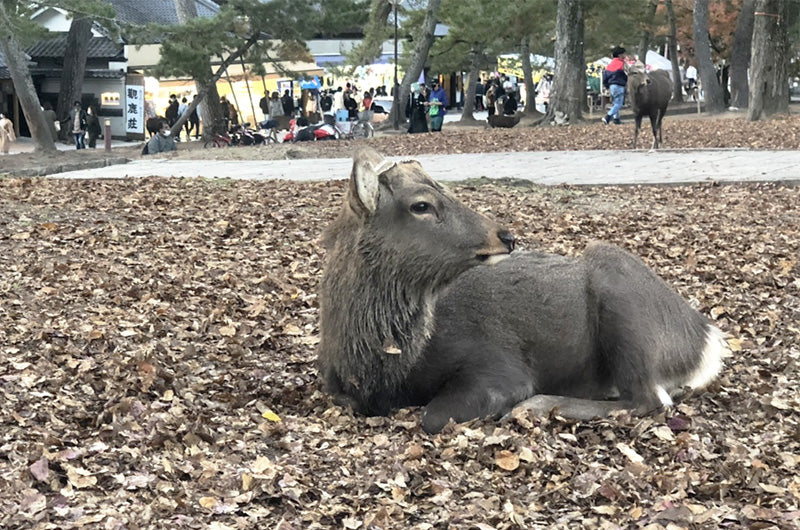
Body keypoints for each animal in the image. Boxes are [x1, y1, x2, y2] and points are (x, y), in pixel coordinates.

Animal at [316, 146, 728, 432]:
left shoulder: (499, 364)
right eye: (421, 205)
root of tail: (706, 341)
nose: (506, 235)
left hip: (622, 294)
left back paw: (537, 406)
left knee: (649, 398)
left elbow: (434, 416)